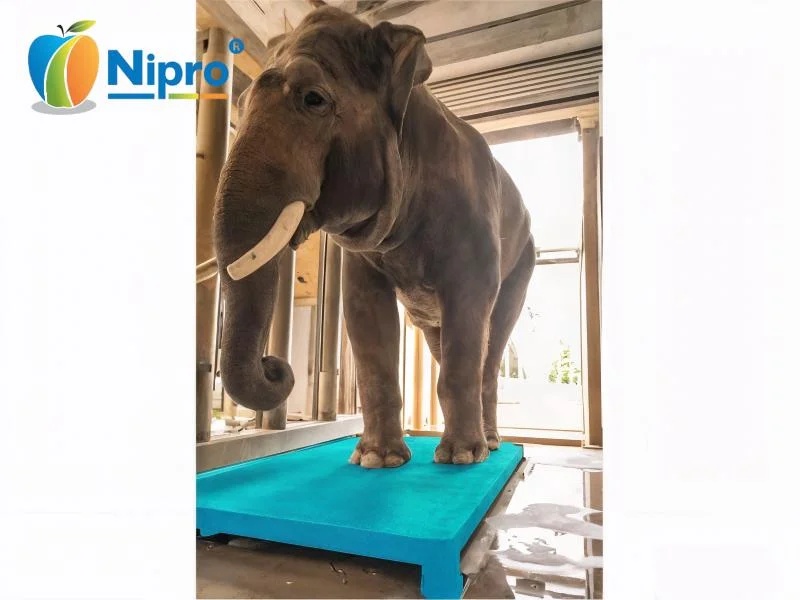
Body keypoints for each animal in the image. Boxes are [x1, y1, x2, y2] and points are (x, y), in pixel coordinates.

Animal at [213, 6, 535, 468]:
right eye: (239, 104)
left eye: (313, 99)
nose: (275, 365)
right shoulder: (364, 259)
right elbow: (364, 309)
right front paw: (376, 460)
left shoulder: (472, 224)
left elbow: (470, 301)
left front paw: (459, 458)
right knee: (443, 341)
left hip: (524, 261)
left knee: (491, 342)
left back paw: (487, 447)